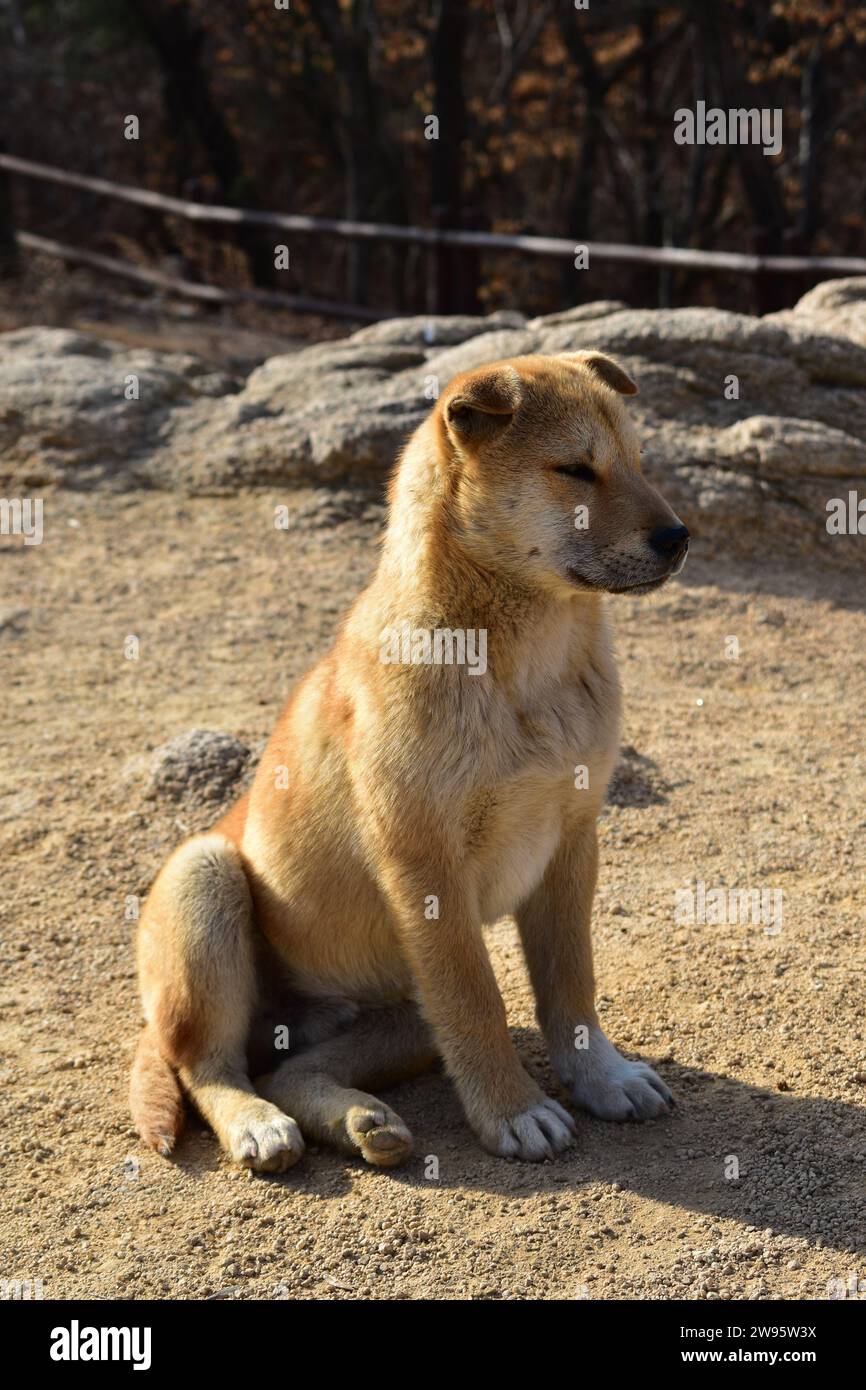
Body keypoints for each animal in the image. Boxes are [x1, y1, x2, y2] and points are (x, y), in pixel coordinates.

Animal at [128, 350, 686, 1173]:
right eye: (575, 469)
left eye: (639, 462)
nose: (680, 537)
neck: (525, 663)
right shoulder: (426, 866)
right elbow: (480, 1002)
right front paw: (515, 1112)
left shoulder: (572, 841)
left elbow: (571, 989)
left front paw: (602, 1078)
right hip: (207, 876)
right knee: (208, 1065)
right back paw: (259, 1125)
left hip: (405, 1015)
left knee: (292, 1067)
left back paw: (363, 1120)